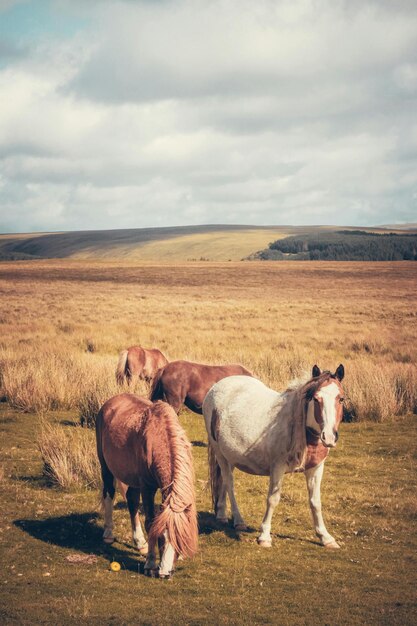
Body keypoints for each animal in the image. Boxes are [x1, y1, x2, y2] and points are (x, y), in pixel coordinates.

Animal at [96, 392, 198, 576]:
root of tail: (110, 402)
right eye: (161, 539)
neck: (158, 438)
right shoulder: (147, 488)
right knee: (108, 494)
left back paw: (139, 542)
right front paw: (150, 563)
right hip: (106, 467)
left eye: (177, 540)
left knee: (132, 502)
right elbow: (150, 522)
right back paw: (108, 533)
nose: (164, 573)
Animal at [202, 364, 344, 548]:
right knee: (230, 484)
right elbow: (273, 499)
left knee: (224, 483)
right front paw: (264, 536)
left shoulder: (316, 468)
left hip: (229, 456)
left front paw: (325, 537)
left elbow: (315, 502)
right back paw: (239, 521)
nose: (329, 437)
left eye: (341, 399)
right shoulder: (277, 467)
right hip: (220, 454)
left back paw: (221, 514)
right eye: (316, 398)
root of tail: (215, 388)